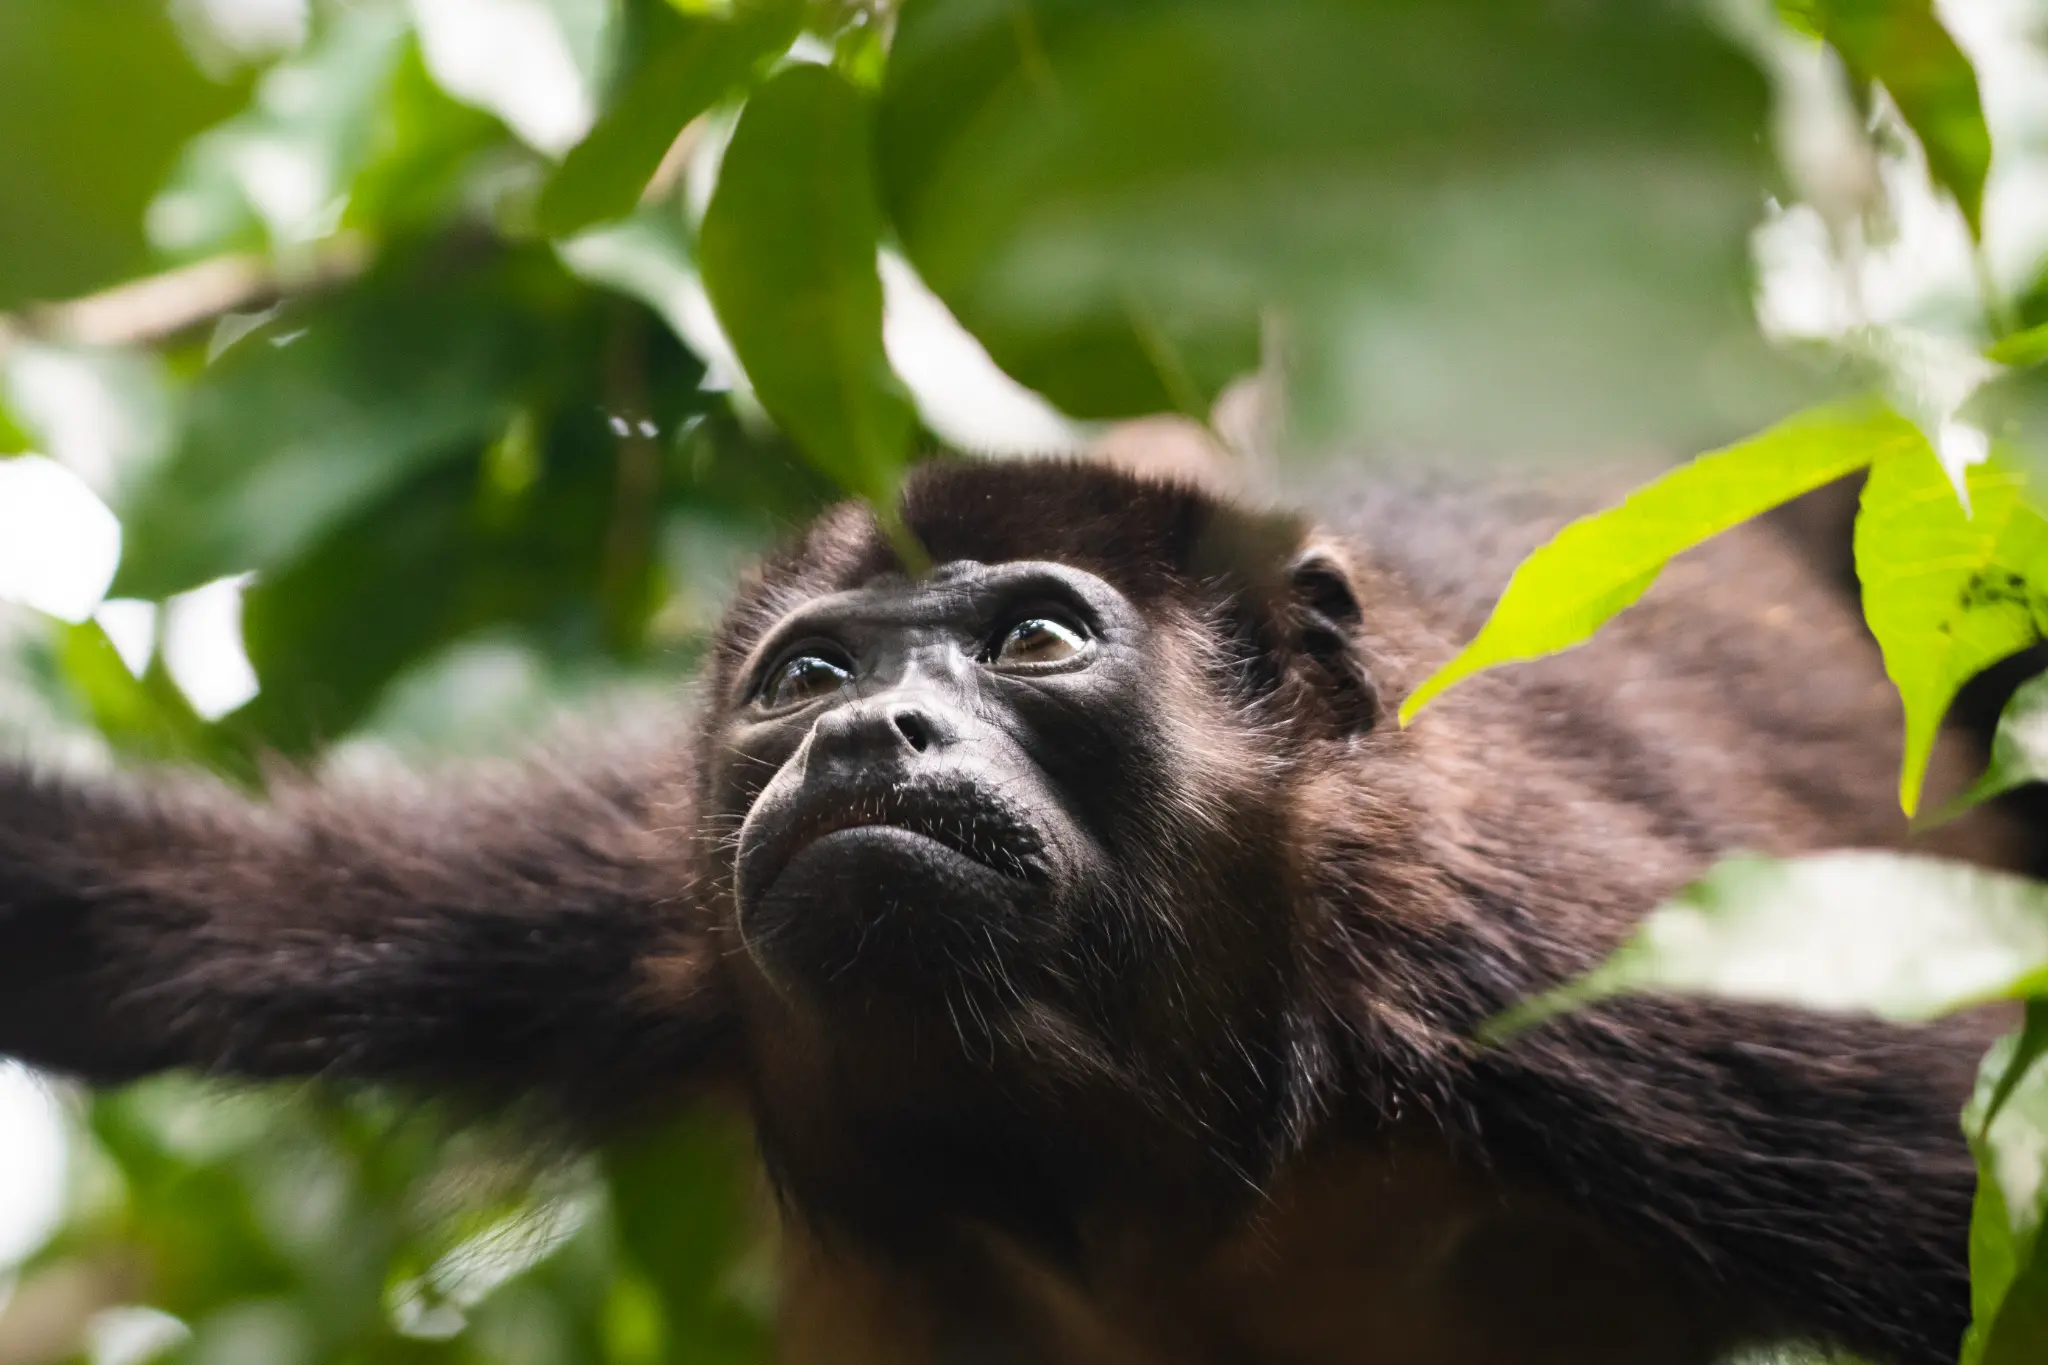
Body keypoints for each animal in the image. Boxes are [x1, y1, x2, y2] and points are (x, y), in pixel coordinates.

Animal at [0, 455, 2021, 1365]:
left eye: (1036, 639)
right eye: (810, 676)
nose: (867, 734)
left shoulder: (1551, 968)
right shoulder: (620, 898)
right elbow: (127, 926)